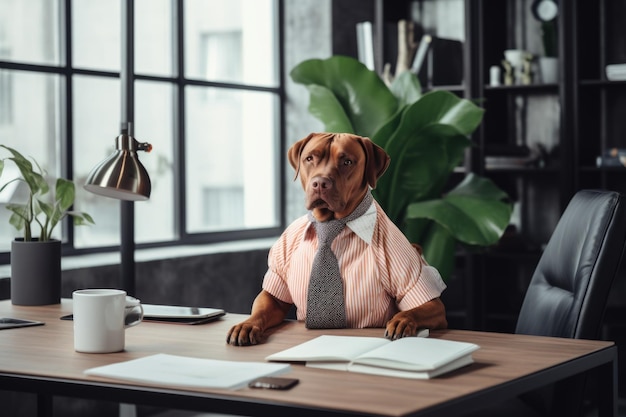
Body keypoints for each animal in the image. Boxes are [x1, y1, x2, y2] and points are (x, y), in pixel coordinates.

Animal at [227, 132, 446, 344]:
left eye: (347, 161)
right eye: (309, 158)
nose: (320, 183)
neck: (329, 223)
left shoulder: (430, 301)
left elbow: (412, 310)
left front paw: (402, 320)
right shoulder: (275, 286)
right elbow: (263, 308)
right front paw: (247, 324)